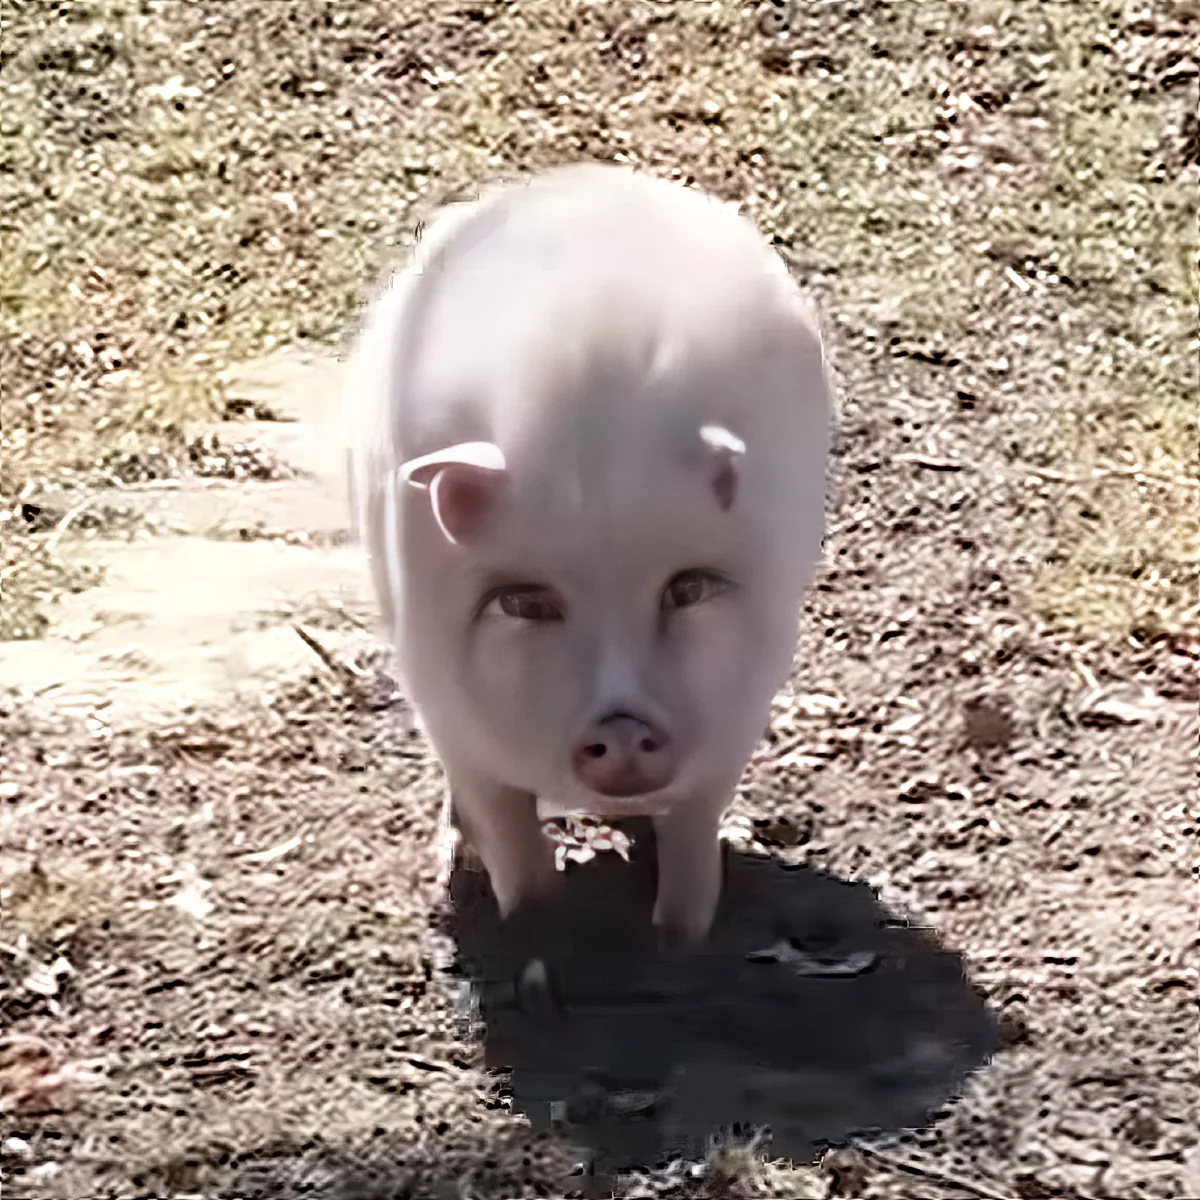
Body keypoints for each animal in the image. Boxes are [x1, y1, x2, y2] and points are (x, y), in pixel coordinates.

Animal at [344, 163, 833, 953]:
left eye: (687, 590)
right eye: (525, 603)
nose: (623, 726)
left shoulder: (738, 712)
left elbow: (692, 841)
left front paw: (679, 945)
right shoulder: (444, 703)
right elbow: (513, 845)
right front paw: (536, 945)